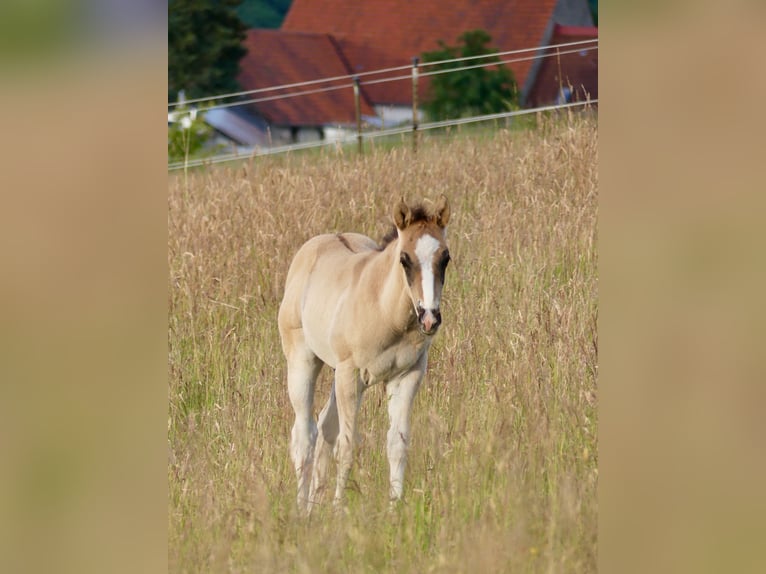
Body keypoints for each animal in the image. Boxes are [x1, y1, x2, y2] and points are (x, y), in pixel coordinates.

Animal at [280, 196, 450, 516]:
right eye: (404, 258)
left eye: (445, 257)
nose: (429, 318)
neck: (385, 310)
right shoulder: (352, 376)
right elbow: (347, 445)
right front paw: (338, 511)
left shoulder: (407, 376)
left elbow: (397, 445)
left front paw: (395, 511)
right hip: (303, 362)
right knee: (305, 435)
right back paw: (301, 509)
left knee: (324, 427)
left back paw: (314, 504)